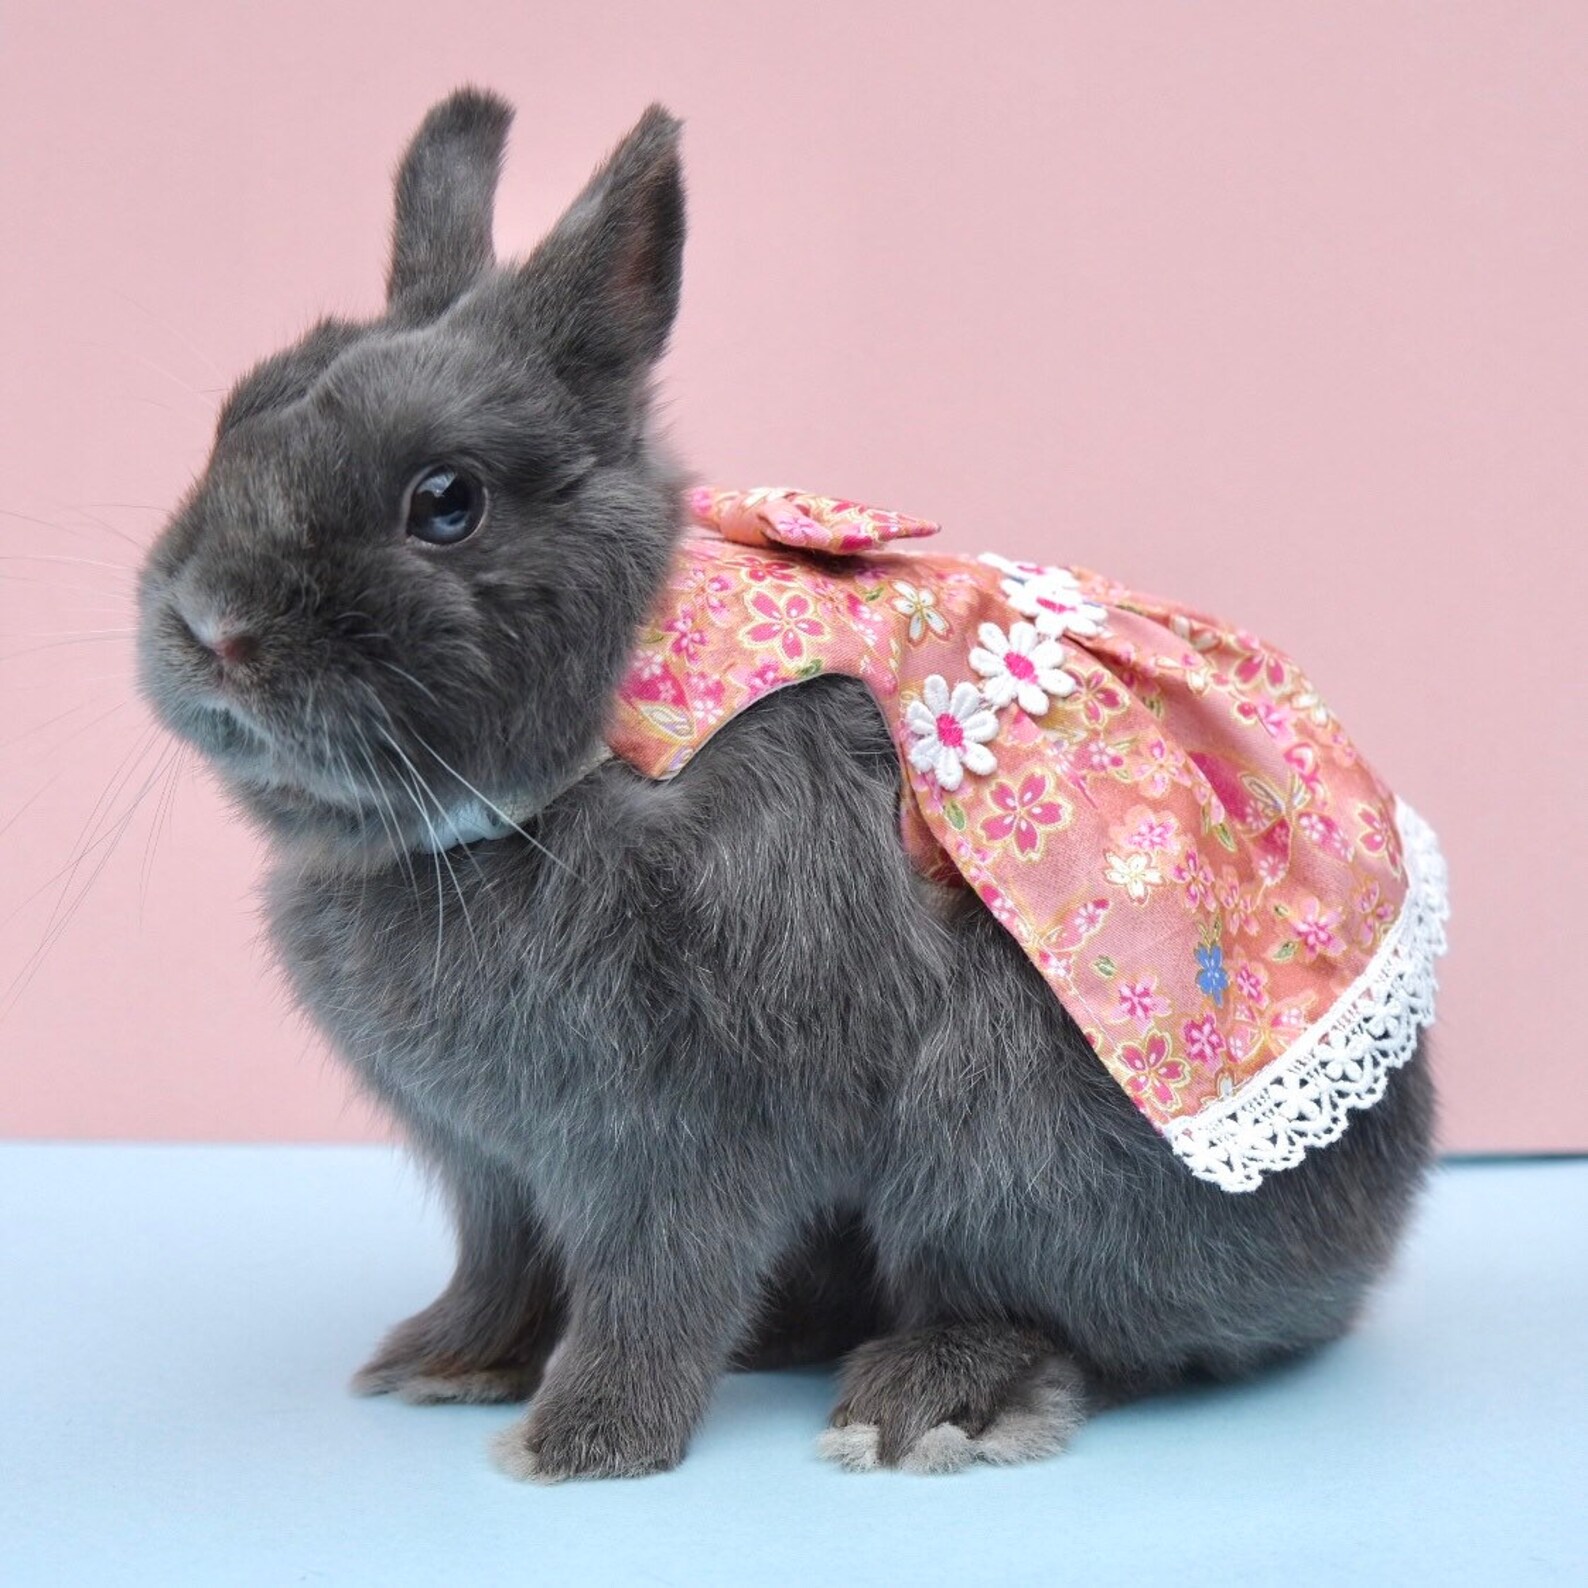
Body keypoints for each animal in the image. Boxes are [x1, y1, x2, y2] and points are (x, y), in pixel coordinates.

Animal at [135, 88, 1437, 1480]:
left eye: (446, 500)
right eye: (237, 416)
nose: (211, 624)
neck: (595, 738)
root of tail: (1365, 1239)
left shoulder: (682, 1121)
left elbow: (657, 1279)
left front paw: (584, 1443)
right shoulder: (493, 1163)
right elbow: (503, 1264)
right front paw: (446, 1362)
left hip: (1009, 1140)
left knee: (1075, 1321)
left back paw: (926, 1400)